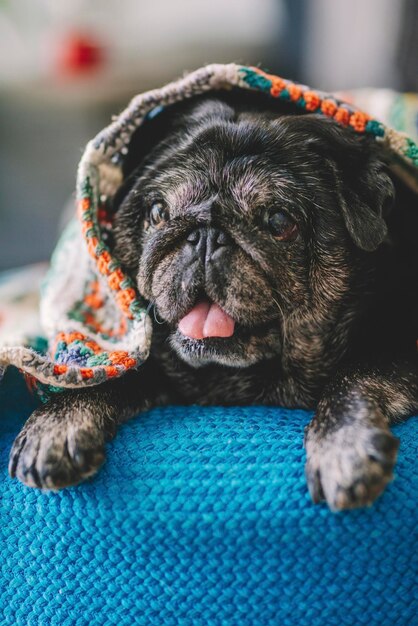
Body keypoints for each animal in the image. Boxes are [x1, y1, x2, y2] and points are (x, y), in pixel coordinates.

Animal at [7, 90, 418, 508]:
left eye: (279, 222)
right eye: (158, 212)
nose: (205, 234)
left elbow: (353, 375)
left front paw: (344, 444)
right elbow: (114, 372)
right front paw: (59, 421)